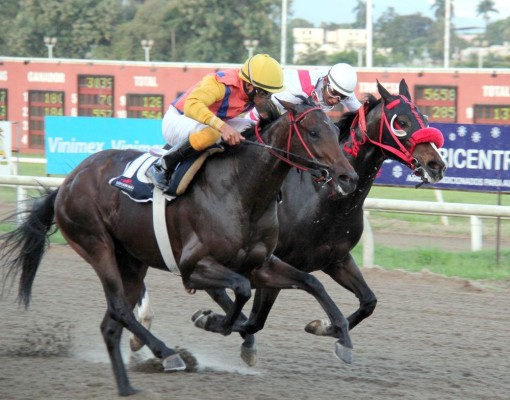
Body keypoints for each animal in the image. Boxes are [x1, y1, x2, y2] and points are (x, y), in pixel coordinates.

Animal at [0, 98, 359, 397]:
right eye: (313, 132)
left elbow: (310, 284)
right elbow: (242, 292)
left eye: (336, 130)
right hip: (96, 245)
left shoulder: (262, 264)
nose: (348, 177)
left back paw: (130, 383)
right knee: (119, 308)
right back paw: (168, 354)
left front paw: (340, 337)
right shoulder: (194, 268)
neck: (243, 190)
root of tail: (67, 182)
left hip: (131, 262)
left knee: (112, 322)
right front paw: (212, 321)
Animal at [132, 79, 447, 365]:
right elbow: (256, 319)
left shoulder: (337, 259)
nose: (437, 164)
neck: (324, 197)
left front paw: (324, 327)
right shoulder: (275, 261)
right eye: (401, 121)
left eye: (425, 117)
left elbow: (368, 301)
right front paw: (217, 324)